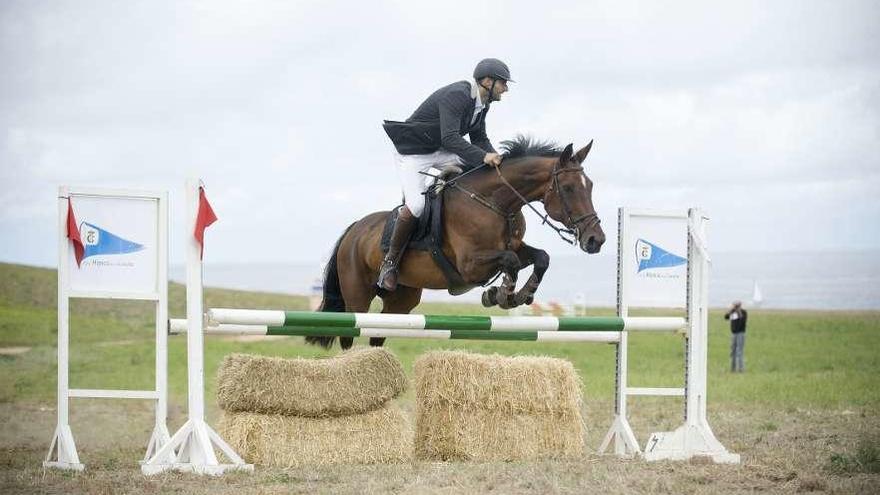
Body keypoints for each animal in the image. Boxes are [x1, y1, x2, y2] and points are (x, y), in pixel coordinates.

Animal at [308, 136, 604, 350]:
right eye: (569, 188)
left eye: (589, 186)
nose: (596, 240)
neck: (495, 203)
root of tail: (354, 229)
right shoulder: (470, 265)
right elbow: (511, 261)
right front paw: (501, 295)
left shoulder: (514, 246)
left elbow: (541, 257)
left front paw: (519, 295)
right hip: (357, 297)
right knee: (350, 334)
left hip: (402, 301)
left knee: (378, 334)